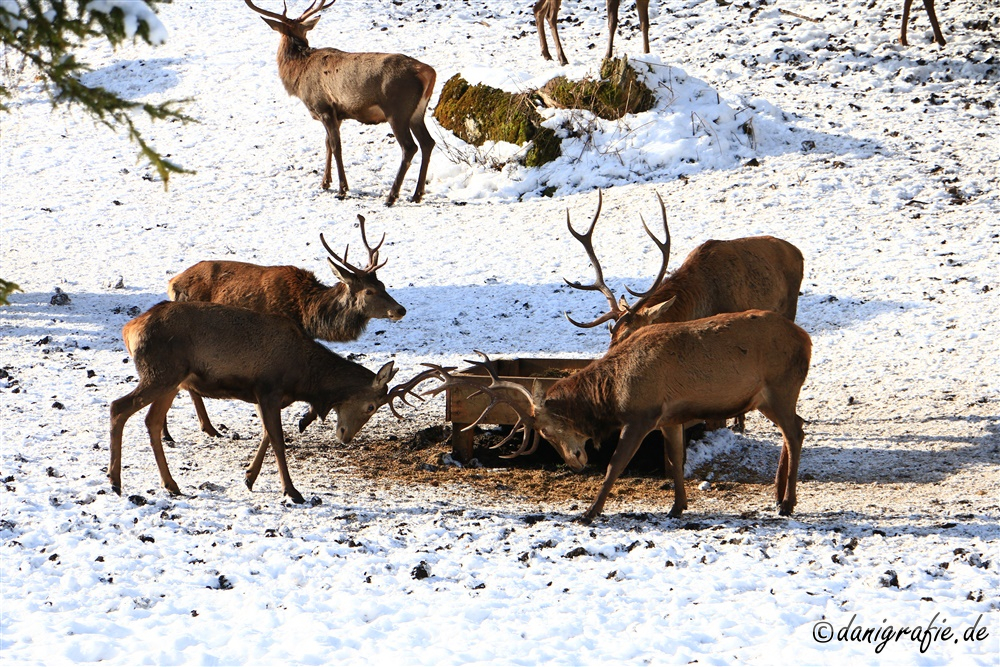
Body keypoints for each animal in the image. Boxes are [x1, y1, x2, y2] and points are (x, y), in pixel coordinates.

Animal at [109, 302, 438, 500]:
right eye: (370, 406)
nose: (345, 437)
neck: (304, 377)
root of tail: (128, 329)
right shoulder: (268, 388)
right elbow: (279, 440)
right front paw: (292, 491)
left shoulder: (264, 396)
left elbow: (267, 435)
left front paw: (249, 478)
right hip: (160, 373)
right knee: (117, 407)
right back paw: (115, 481)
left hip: (171, 380)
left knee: (151, 421)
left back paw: (171, 485)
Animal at [168, 217, 406, 440]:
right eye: (369, 291)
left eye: (383, 285)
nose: (400, 309)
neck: (305, 311)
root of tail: (173, 283)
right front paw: (303, 420)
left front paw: (305, 419)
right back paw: (200, 429)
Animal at [245, 0, 434, 206]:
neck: (298, 74)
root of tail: (428, 72)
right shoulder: (338, 114)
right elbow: (327, 143)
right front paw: (325, 182)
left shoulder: (323, 107)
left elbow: (336, 146)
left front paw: (342, 189)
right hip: (417, 112)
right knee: (428, 143)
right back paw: (417, 194)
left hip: (397, 110)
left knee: (409, 147)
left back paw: (391, 197)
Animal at [430, 316, 812, 524]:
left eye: (549, 431)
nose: (575, 462)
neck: (613, 393)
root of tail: (806, 339)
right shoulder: (670, 417)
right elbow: (676, 459)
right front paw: (677, 507)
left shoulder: (642, 415)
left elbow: (616, 463)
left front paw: (589, 513)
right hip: (770, 396)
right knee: (796, 428)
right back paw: (780, 498)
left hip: (779, 387)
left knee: (796, 431)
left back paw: (787, 503)